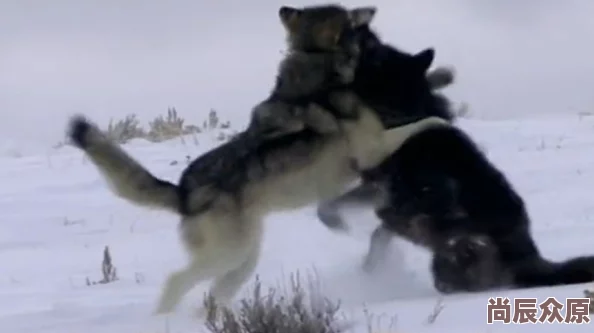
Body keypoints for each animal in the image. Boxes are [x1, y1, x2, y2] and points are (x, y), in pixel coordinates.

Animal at [65, 5, 446, 316]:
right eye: (356, 25)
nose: (372, 11)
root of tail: (183, 193)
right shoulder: (372, 146)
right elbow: (423, 124)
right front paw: (444, 122)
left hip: (243, 261)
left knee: (211, 297)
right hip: (230, 255)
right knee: (176, 281)